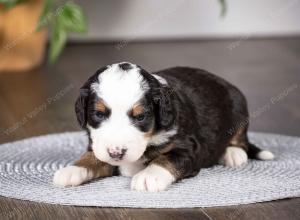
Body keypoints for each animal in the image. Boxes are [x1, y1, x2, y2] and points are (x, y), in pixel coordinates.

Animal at [53, 62, 274, 191]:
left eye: (140, 117)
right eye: (98, 114)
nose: (116, 153)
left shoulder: (188, 148)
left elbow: (166, 158)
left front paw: (147, 177)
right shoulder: (97, 145)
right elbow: (91, 157)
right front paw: (71, 170)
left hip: (239, 106)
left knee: (240, 139)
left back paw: (233, 154)